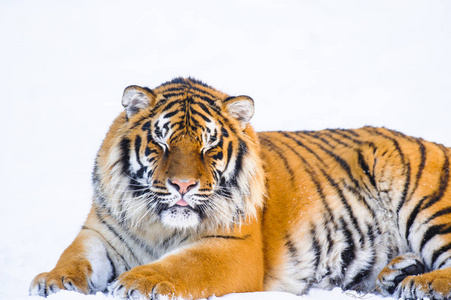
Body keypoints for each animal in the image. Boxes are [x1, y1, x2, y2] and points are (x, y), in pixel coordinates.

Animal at [30, 78, 451, 300]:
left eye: (208, 147)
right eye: (162, 144)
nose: (182, 185)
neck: (159, 226)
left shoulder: (232, 247)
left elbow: (184, 265)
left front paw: (137, 282)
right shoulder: (100, 232)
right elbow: (75, 257)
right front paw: (54, 282)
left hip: (427, 203)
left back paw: (421, 283)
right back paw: (398, 272)